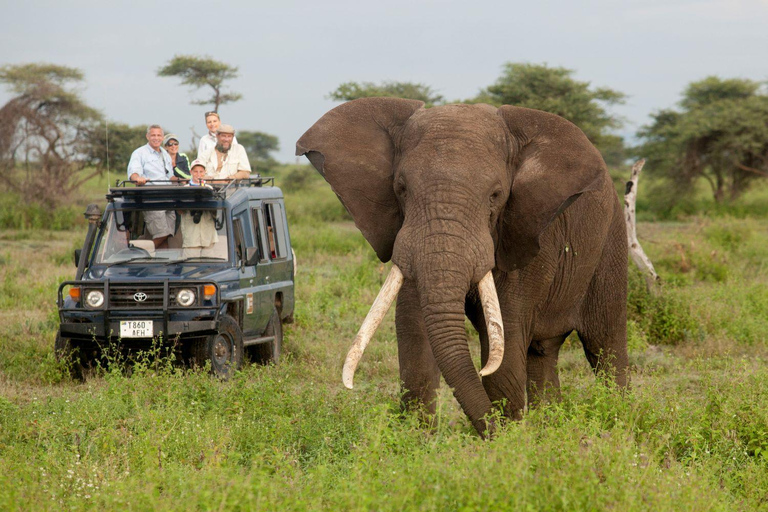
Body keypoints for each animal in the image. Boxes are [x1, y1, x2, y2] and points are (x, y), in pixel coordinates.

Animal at [296, 97, 628, 436]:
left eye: (496, 195)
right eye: (401, 188)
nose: (492, 433)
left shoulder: (526, 231)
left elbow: (505, 342)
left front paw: (508, 440)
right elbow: (414, 329)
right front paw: (419, 438)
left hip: (612, 239)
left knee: (606, 345)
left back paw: (618, 419)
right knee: (543, 352)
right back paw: (550, 428)